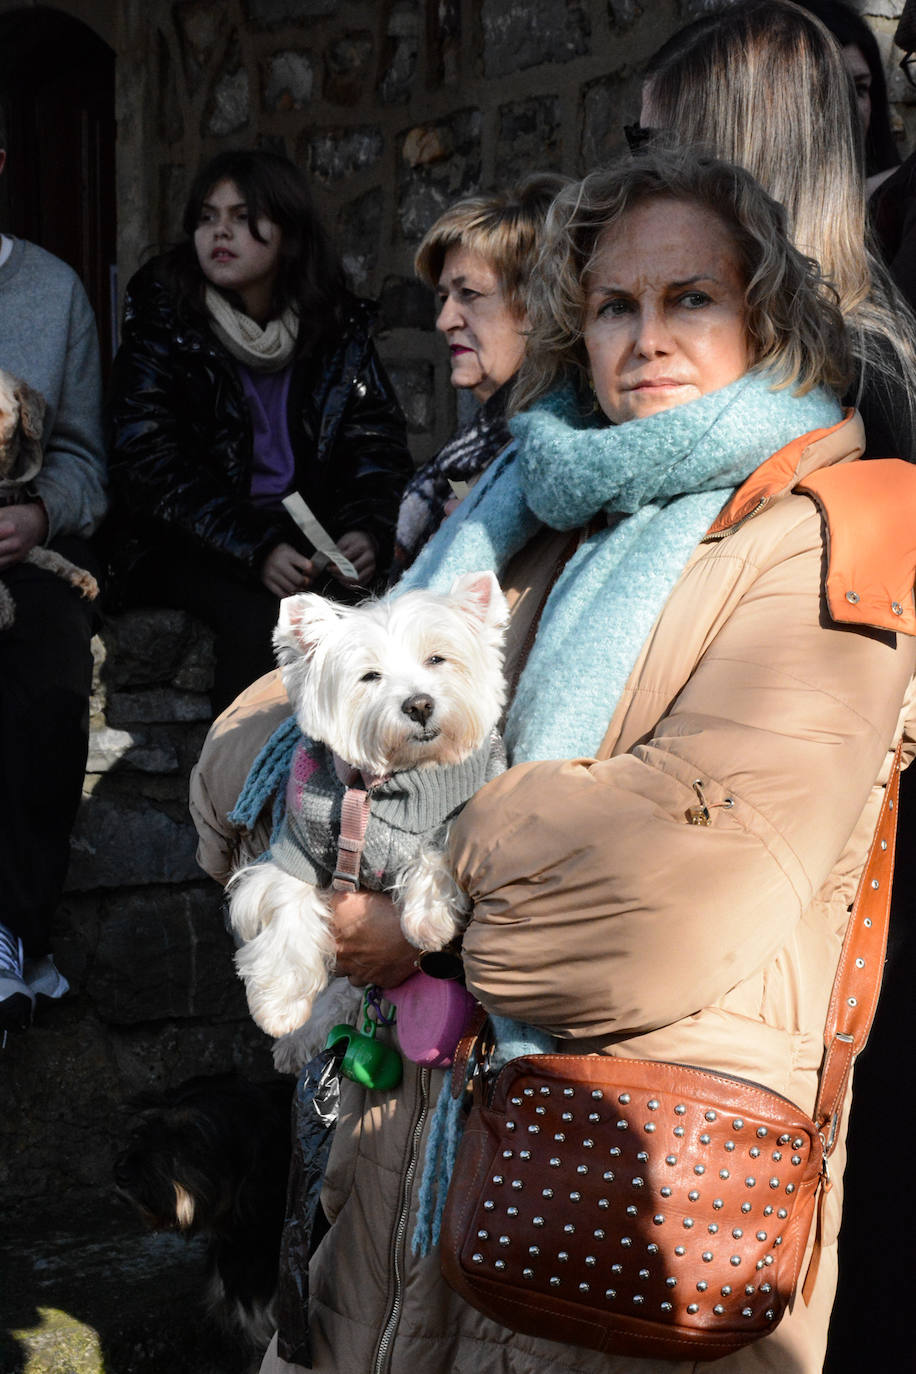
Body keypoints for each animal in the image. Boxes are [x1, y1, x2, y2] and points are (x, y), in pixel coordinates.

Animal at [225, 574, 505, 1044]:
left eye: (436, 659)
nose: (419, 704)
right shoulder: (296, 851)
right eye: (370, 676)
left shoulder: (464, 802)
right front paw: (279, 1008)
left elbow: (441, 845)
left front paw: (429, 920)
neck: (390, 784)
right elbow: (285, 911)